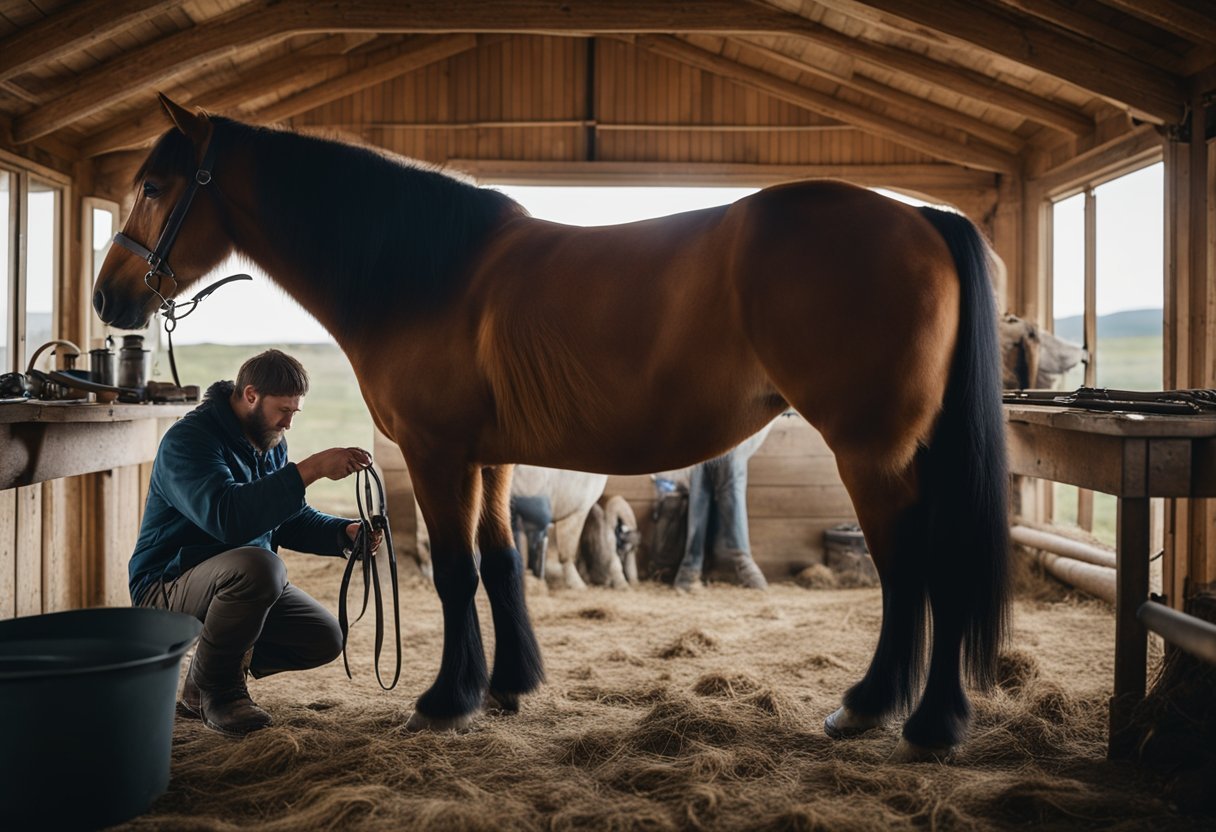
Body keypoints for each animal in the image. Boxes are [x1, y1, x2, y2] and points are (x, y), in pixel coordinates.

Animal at [92, 96, 1006, 759]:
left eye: (157, 186)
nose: (109, 299)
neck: (424, 274)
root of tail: (922, 217)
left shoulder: (440, 454)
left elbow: (456, 573)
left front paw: (446, 701)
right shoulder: (493, 461)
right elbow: (503, 566)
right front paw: (508, 687)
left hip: (872, 451)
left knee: (917, 572)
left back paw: (893, 716)